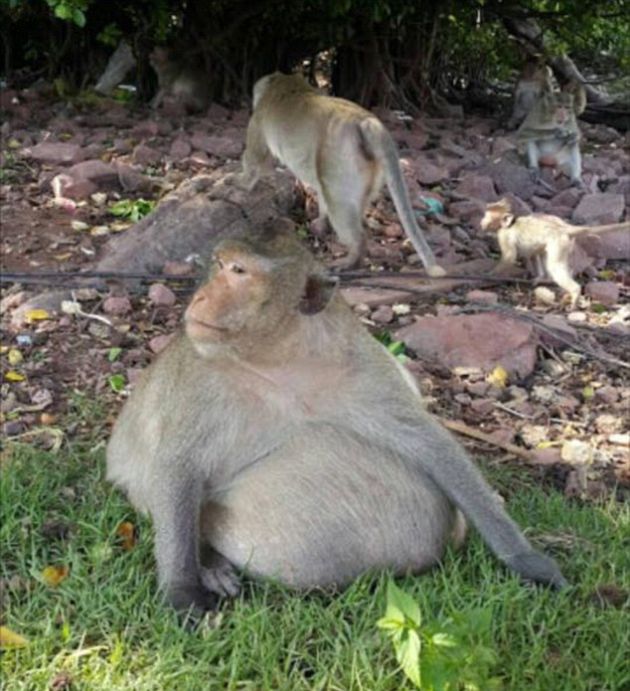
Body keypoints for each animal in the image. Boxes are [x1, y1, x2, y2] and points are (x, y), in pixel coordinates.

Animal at [108, 224, 568, 620]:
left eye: (238, 272)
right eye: (219, 264)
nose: (201, 298)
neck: (278, 358)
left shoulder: (361, 366)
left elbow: (430, 444)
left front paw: (524, 559)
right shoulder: (201, 381)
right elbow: (177, 467)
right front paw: (182, 588)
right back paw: (210, 562)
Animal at [238, 71, 450, 276]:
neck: (288, 85)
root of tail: (367, 122)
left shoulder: (259, 119)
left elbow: (255, 158)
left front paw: (239, 182)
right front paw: (321, 222)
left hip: (341, 158)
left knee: (338, 201)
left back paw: (352, 256)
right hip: (370, 167)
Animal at [482, 200, 628, 308]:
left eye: (487, 216)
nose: (482, 222)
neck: (509, 224)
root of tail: (562, 227)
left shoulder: (504, 235)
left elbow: (510, 256)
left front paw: (489, 275)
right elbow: (533, 254)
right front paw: (538, 277)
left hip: (559, 243)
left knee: (554, 266)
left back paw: (574, 293)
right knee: (542, 253)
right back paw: (546, 279)